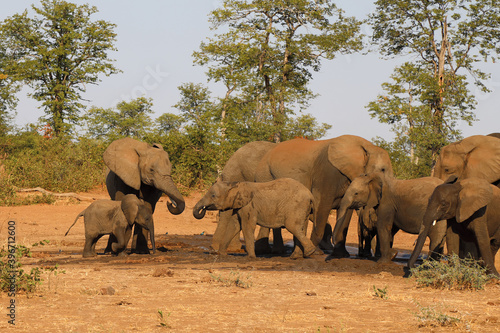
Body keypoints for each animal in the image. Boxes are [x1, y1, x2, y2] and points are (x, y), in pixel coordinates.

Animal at [254, 134, 394, 255]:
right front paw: (314, 252)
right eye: (383, 170)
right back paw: (276, 252)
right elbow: (322, 206)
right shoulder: (327, 173)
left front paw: (341, 255)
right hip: (265, 174)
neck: (367, 146)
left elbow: (346, 213)